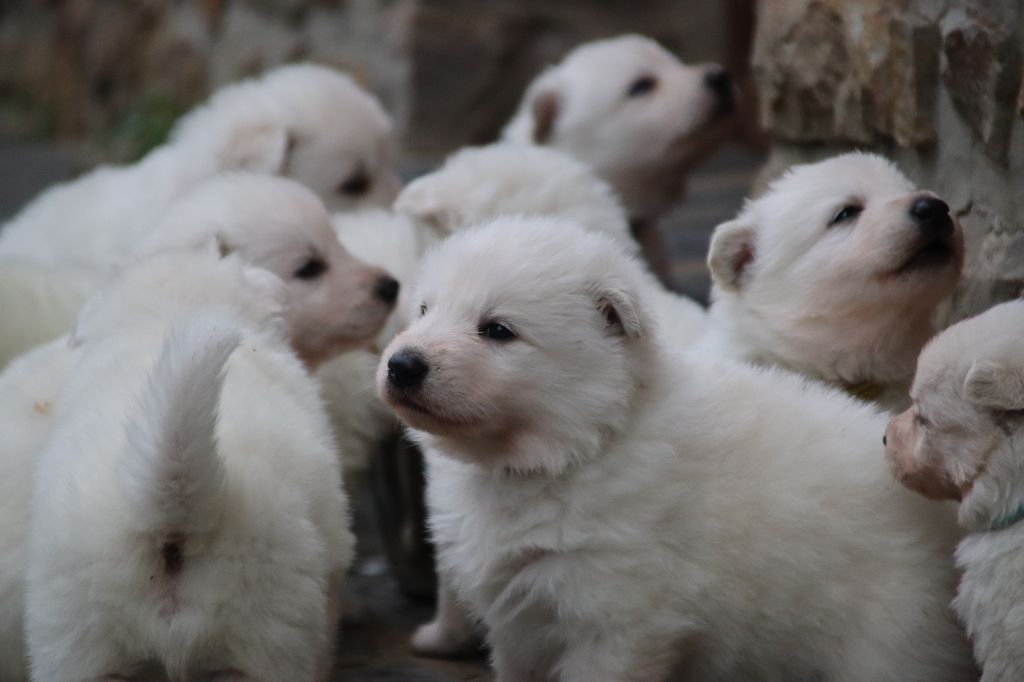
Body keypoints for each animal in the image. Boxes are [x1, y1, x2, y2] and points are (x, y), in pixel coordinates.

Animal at [380, 216, 970, 679]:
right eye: (425, 310)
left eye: (498, 330)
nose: (402, 364)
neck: (576, 447)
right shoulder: (520, 623)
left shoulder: (616, 618)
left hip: (888, 642)